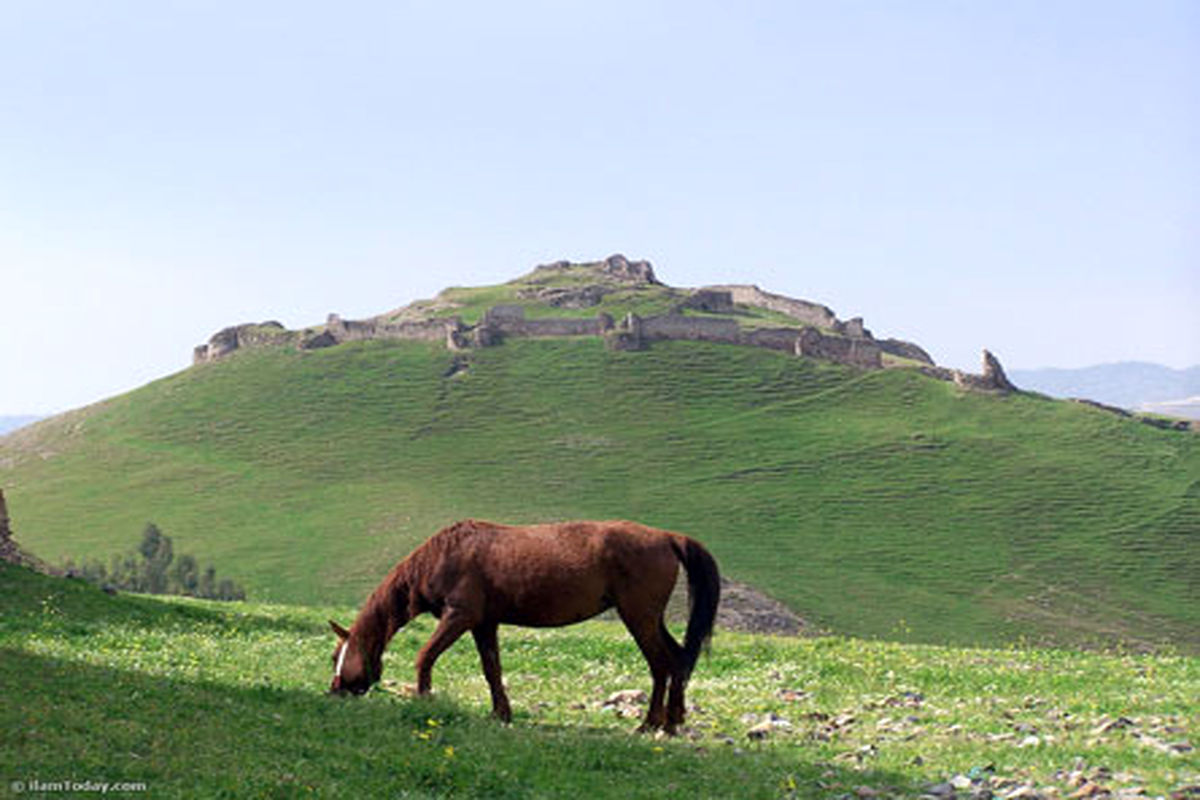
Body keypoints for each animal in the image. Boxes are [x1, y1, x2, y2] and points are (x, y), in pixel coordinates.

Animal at [328, 520, 720, 734]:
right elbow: (492, 669)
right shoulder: (484, 623)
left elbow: (426, 656)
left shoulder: (459, 617)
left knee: (661, 664)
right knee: (679, 658)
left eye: (340, 657)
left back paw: (652, 724)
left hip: (638, 617)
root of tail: (668, 537)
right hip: (650, 618)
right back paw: (673, 721)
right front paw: (500, 714)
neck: (444, 556)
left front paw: (425, 702)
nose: (334, 691)